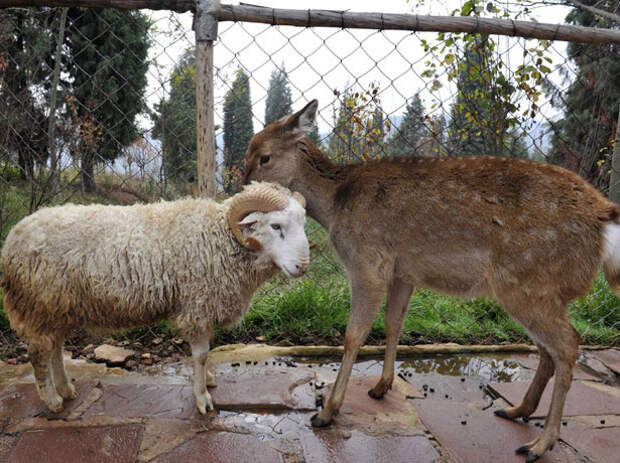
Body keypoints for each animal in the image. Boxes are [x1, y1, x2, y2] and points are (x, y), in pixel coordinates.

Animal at [0, 181, 310, 414]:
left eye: (302, 224)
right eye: (275, 226)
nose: (302, 267)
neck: (220, 238)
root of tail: (13, 238)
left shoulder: (203, 306)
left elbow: (206, 353)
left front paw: (207, 380)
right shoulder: (197, 305)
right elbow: (201, 355)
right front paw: (202, 398)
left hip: (57, 306)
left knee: (54, 348)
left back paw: (66, 389)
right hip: (39, 305)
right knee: (39, 353)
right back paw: (52, 400)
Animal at [242, 99, 620, 462]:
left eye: (264, 157)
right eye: (247, 152)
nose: (242, 191)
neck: (337, 202)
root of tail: (603, 217)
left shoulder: (368, 262)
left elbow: (353, 335)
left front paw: (328, 411)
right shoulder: (402, 272)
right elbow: (393, 323)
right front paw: (381, 386)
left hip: (528, 281)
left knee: (568, 344)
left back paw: (540, 444)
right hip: (539, 289)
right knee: (548, 349)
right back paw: (516, 410)